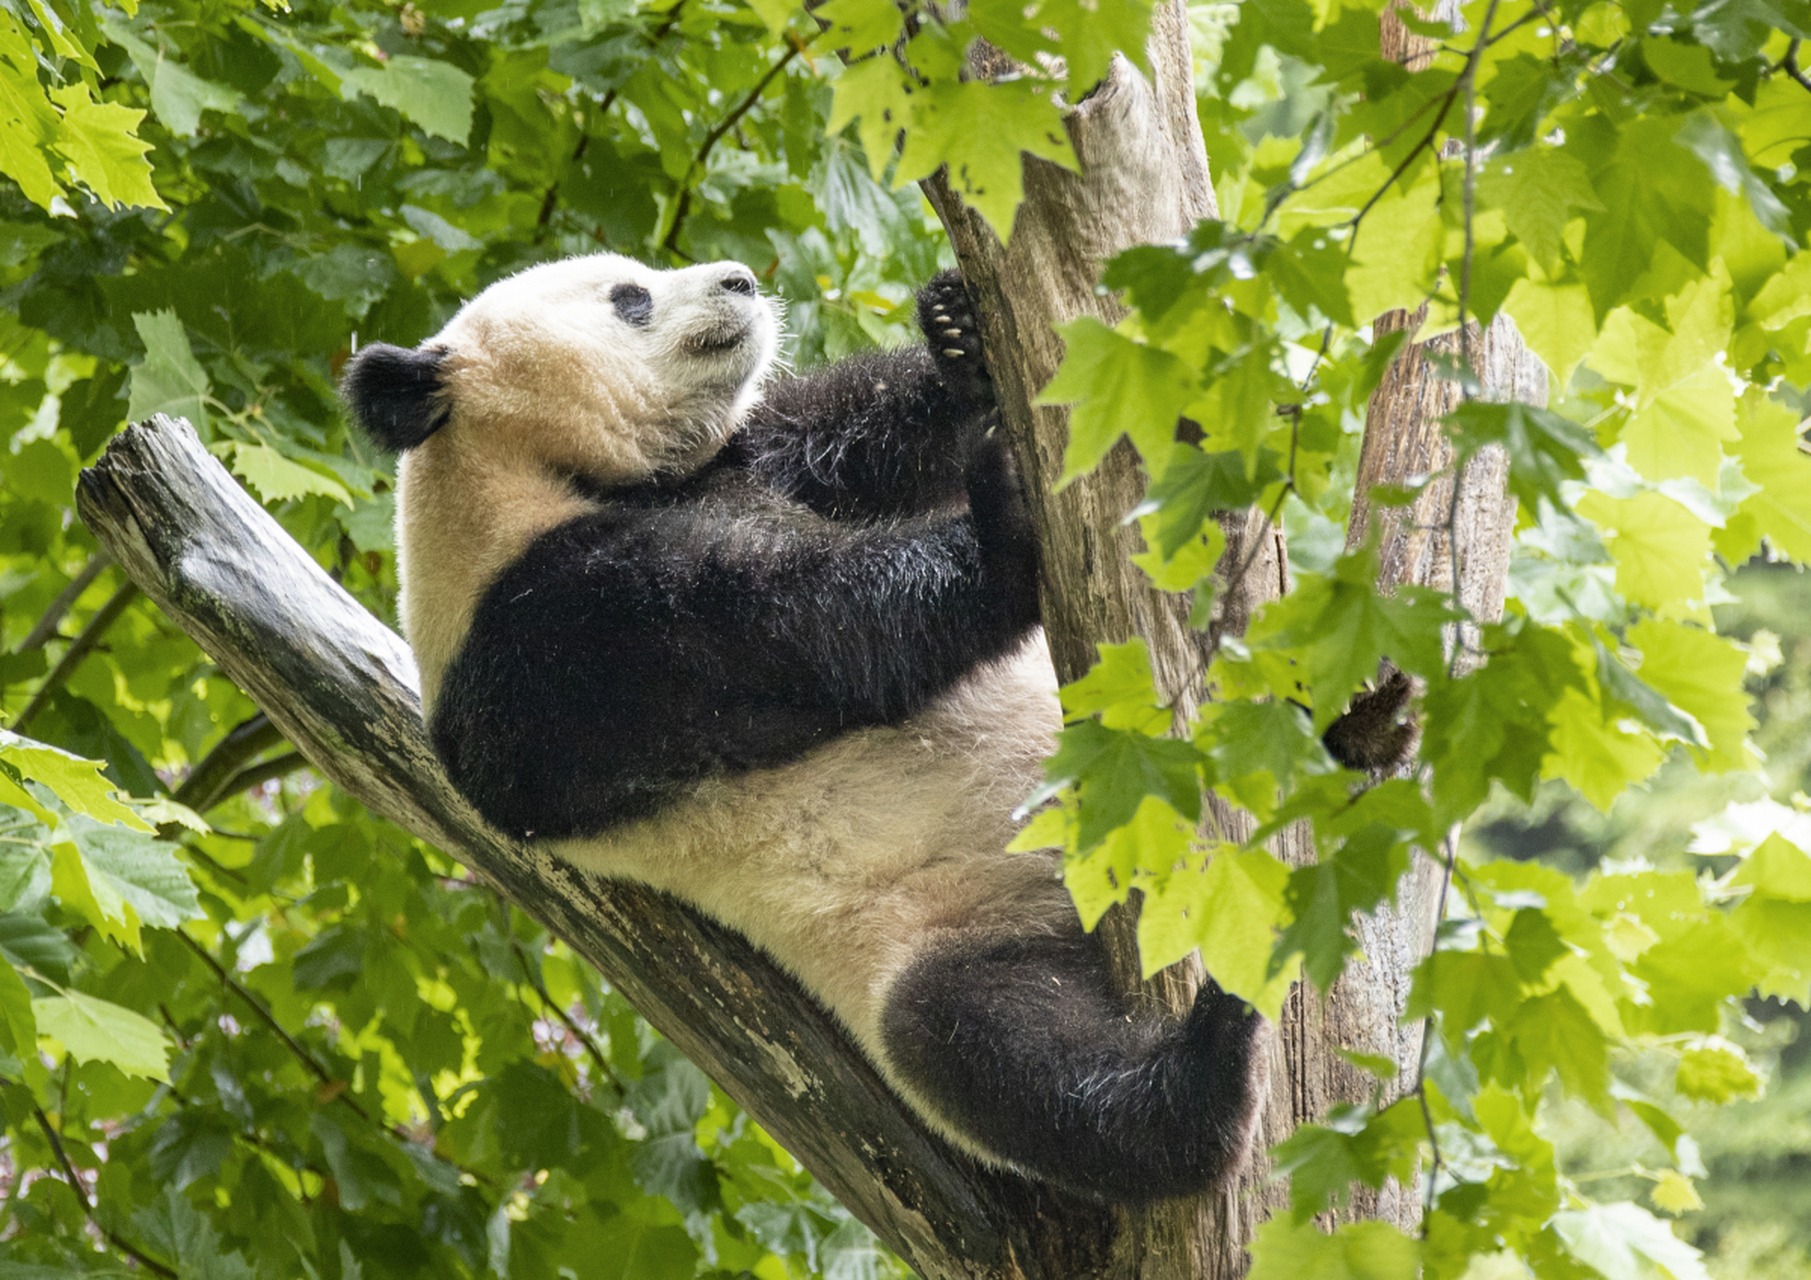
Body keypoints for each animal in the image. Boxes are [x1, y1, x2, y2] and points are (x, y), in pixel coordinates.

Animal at [345, 253, 1267, 1202]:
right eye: (629, 300)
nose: (739, 278)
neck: (519, 480)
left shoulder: (755, 462)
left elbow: (857, 438)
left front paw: (958, 332)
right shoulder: (551, 650)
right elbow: (810, 634)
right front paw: (1002, 515)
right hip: (939, 926)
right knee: (992, 1046)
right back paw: (1205, 1069)